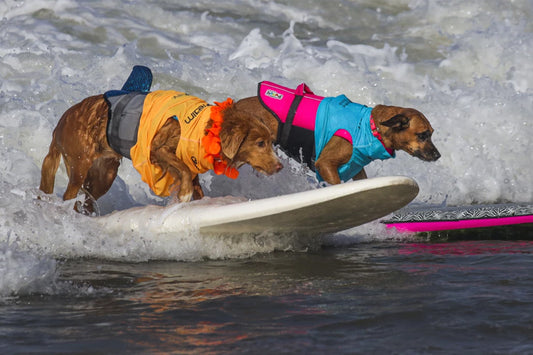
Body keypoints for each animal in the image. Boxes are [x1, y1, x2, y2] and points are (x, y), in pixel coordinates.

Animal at [40, 71, 282, 213]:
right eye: (260, 143)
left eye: (271, 142)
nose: (280, 166)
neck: (207, 128)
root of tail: (60, 123)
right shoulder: (158, 149)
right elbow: (183, 170)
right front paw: (183, 195)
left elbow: (195, 182)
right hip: (80, 163)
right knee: (69, 195)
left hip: (104, 174)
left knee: (88, 198)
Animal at [235, 82, 438, 185]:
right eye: (422, 135)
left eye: (432, 133)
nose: (438, 155)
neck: (369, 127)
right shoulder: (325, 165)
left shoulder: (357, 169)